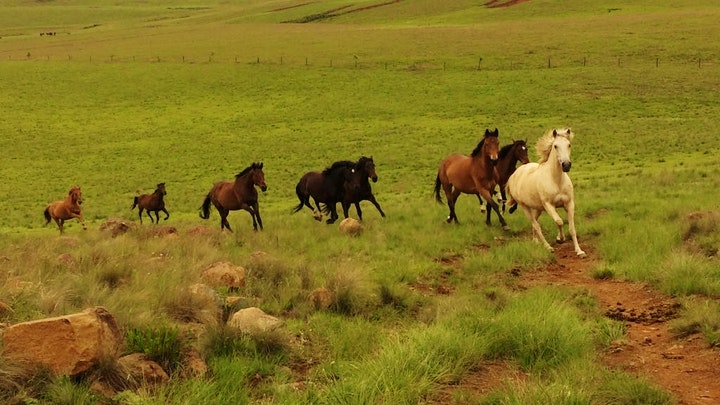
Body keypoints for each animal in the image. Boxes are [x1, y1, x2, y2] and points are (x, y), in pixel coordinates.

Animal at [506, 128, 586, 257]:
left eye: (569, 144)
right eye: (555, 146)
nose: (566, 165)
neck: (556, 181)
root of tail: (514, 175)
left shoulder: (569, 204)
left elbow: (572, 228)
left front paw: (579, 251)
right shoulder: (549, 205)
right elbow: (559, 221)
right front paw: (560, 239)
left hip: (538, 208)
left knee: (535, 224)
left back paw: (535, 241)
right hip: (525, 207)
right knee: (536, 225)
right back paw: (548, 247)